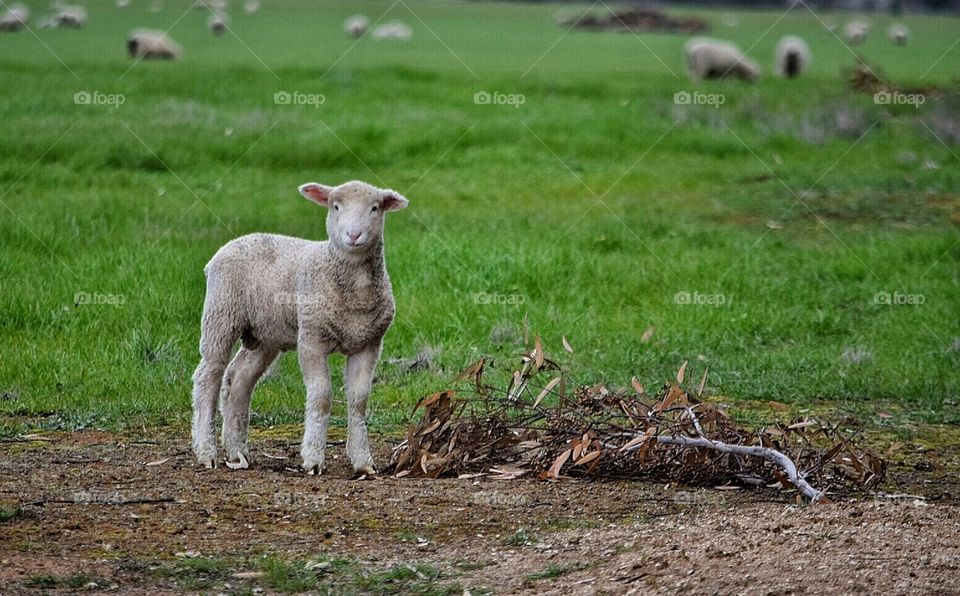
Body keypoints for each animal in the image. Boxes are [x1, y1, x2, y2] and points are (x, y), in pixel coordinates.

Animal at [190, 180, 409, 475]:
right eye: (335, 206)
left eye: (375, 208)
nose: (353, 235)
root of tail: (231, 244)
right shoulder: (311, 339)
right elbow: (321, 397)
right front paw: (314, 459)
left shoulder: (369, 344)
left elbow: (359, 401)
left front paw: (363, 461)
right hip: (221, 314)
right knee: (208, 377)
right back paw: (206, 452)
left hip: (263, 335)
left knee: (239, 381)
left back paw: (237, 452)